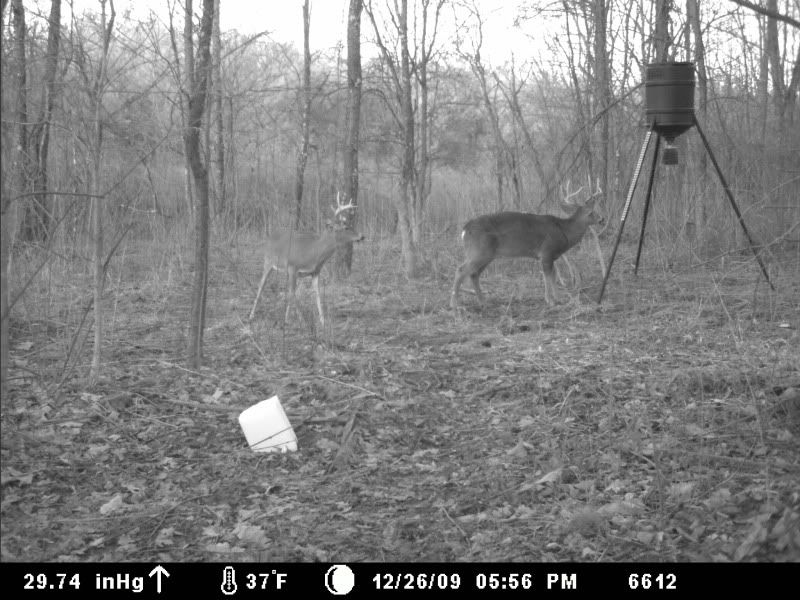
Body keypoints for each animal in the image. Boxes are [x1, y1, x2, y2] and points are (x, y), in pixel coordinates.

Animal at [249, 194, 365, 326]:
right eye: (346, 227)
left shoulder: (315, 272)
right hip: (268, 261)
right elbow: (293, 293)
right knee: (261, 285)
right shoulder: (293, 266)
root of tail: (270, 235)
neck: (314, 252)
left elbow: (317, 294)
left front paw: (322, 320)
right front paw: (301, 319)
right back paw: (251, 315)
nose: (362, 236)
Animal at [451, 181, 603, 310]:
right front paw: (550, 301)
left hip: (487, 255)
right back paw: (455, 304)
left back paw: (484, 302)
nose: (602, 219)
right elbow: (548, 276)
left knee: (474, 274)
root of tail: (465, 230)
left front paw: (558, 299)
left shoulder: (551, 256)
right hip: (479, 251)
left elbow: (553, 276)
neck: (563, 230)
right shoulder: (546, 252)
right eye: (591, 212)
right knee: (461, 270)